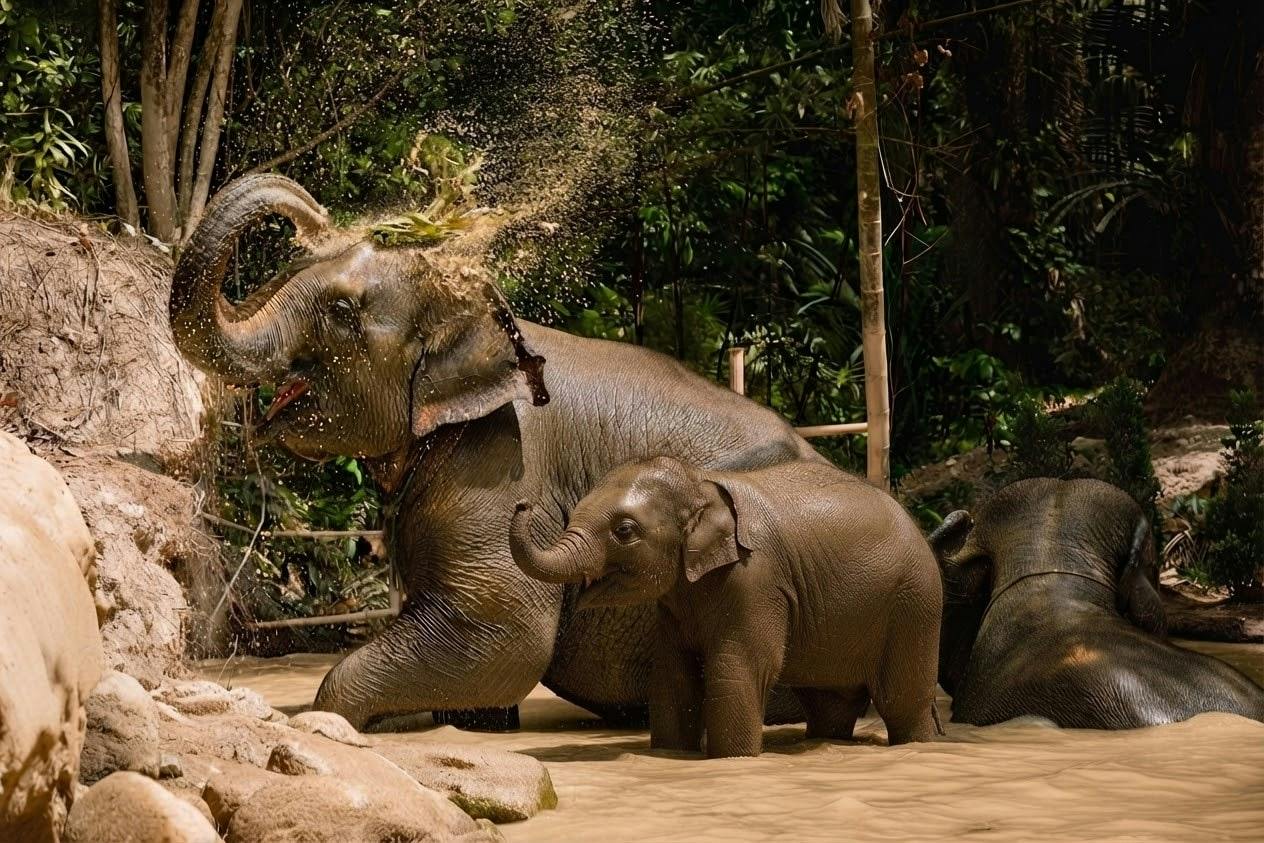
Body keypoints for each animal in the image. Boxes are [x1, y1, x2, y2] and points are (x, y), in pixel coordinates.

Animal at [169, 174, 826, 729]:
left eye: (343, 311)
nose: (315, 213)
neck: (487, 324)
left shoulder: (501, 462)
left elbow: (503, 636)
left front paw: (333, 721)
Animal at [508, 456, 943, 756]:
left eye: (625, 531)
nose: (522, 503)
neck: (700, 482)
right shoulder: (677, 601)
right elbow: (672, 676)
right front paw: (671, 753)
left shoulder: (757, 580)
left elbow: (739, 667)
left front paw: (732, 760)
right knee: (830, 705)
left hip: (914, 603)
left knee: (901, 700)